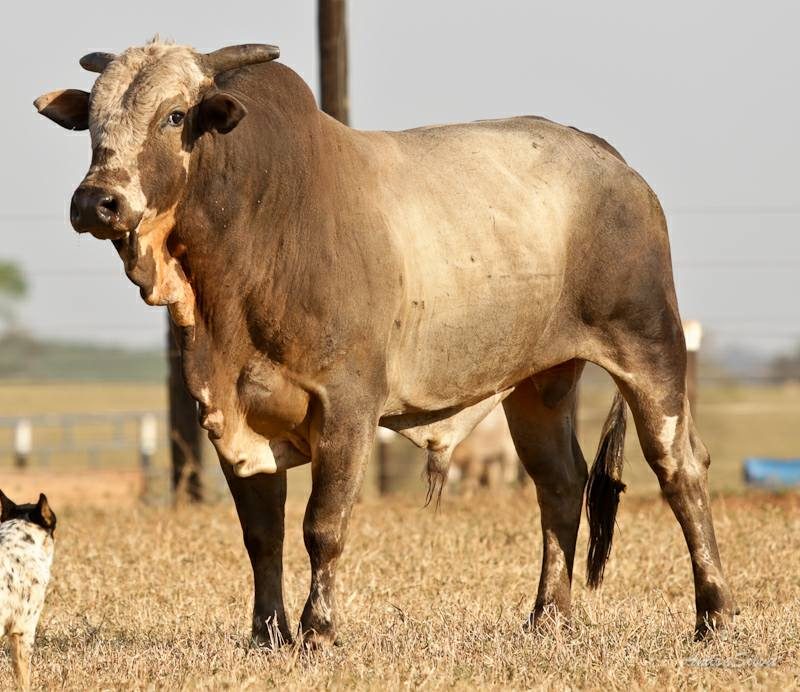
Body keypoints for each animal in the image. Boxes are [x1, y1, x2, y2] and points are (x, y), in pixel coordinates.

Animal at [34, 39, 736, 644]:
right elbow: (262, 535)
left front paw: (317, 632)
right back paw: (548, 618)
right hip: (540, 382)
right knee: (560, 483)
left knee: (680, 469)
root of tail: (611, 161)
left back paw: (714, 614)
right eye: (93, 120)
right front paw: (266, 635)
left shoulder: (347, 405)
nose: (96, 202)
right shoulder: (233, 414)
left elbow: (323, 527)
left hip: (649, 347)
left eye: (174, 115)